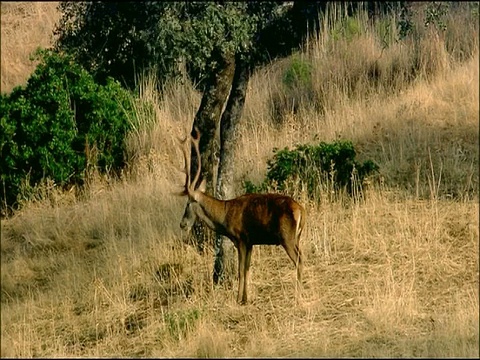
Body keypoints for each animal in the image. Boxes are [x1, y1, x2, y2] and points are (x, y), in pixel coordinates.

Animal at [178, 126, 306, 304]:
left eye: (189, 202)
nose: (182, 224)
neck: (224, 216)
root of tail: (301, 211)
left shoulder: (241, 238)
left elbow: (240, 270)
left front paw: (238, 299)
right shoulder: (251, 242)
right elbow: (247, 268)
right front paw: (245, 298)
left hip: (286, 236)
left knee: (299, 260)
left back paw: (298, 296)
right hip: (297, 237)